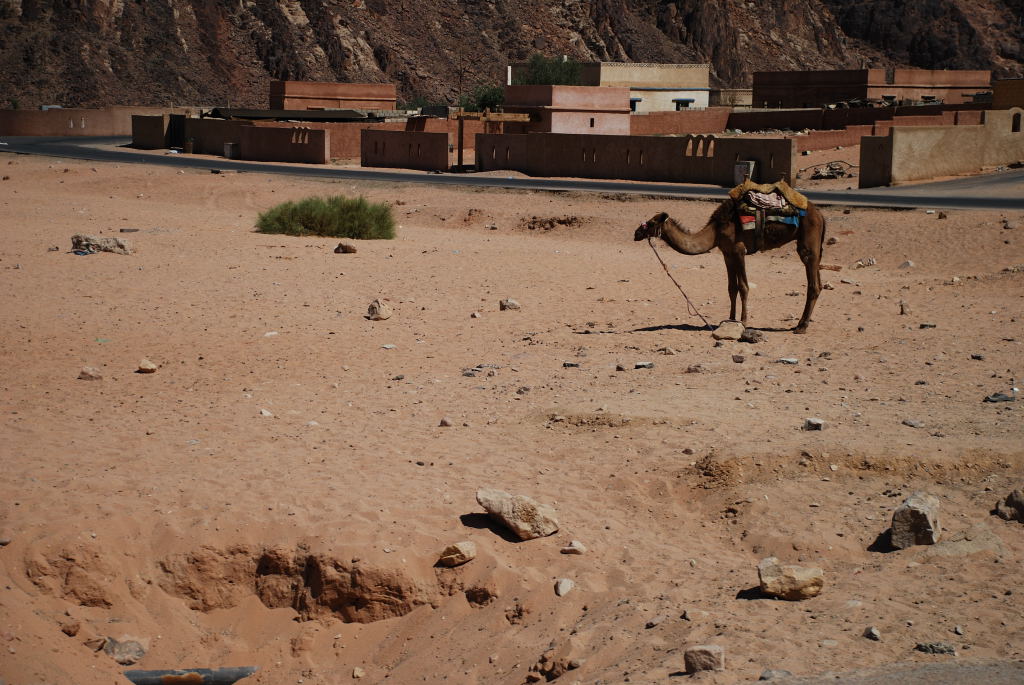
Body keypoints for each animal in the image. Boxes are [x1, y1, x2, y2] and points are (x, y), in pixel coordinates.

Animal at [634, 191, 827, 331]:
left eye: (651, 223)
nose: (636, 233)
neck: (715, 231)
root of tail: (820, 215)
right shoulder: (727, 253)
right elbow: (731, 288)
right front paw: (730, 319)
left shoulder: (739, 251)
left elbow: (743, 287)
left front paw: (743, 321)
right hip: (815, 247)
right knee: (818, 283)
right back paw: (802, 323)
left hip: (808, 242)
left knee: (812, 283)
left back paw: (801, 326)